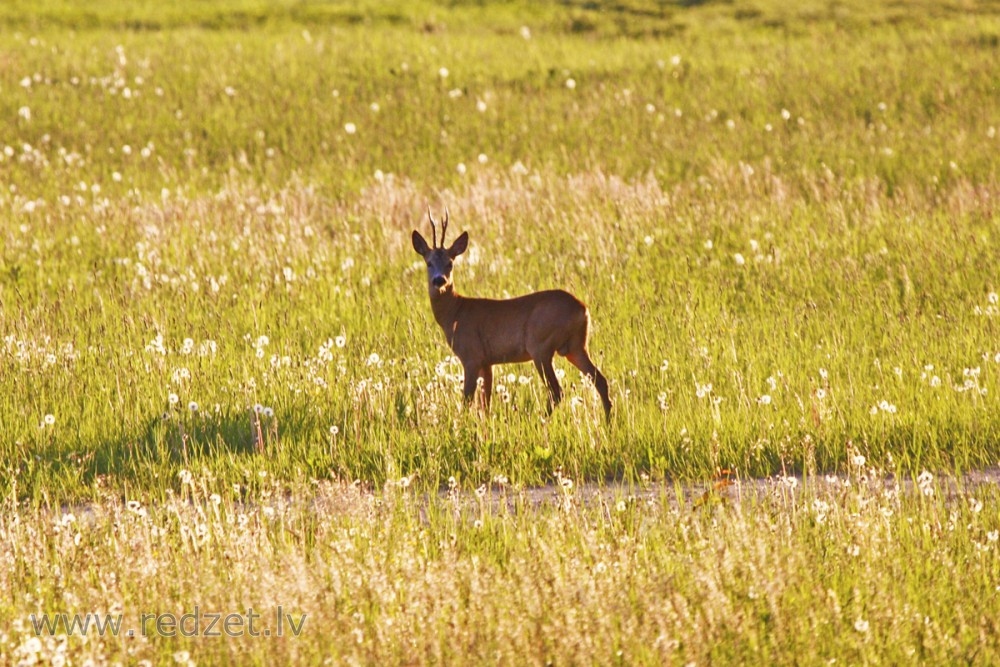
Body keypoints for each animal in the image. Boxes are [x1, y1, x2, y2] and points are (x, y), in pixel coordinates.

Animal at [412, 206, 612, 420]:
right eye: (428, 263)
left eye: (450, 263)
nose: (439, 280)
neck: (455, 312)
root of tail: (583, 308)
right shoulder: (487, 362)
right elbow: (485, 403)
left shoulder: (471, 356)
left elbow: (467, 400)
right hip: (576, 346)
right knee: (601, 380)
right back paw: (608, 422)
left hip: (541, 346)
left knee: (557, 390)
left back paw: (540, 421)